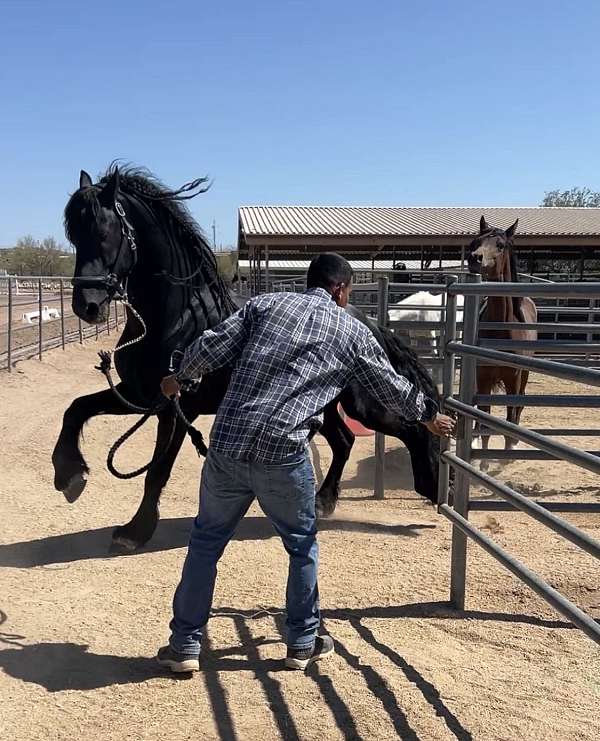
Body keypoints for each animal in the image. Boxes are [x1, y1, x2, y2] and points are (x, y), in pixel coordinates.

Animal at [52, 165, 440, 551]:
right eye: (74, 236)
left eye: (105, 232)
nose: (86, 306)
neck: (179, 318)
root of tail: (364, 320)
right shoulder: (140, 395)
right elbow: (76, 409)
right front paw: (69, 475)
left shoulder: (176, 407)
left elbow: (157, 471)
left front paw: (135, 531)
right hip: (324, 405)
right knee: (344, 441)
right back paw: (323, 502)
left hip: (362, 404)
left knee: (409, 427)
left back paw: (432, 488)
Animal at [467, 215, 537, 459]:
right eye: (476, 241)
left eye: (500, 245)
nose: (474, 258)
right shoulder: (483, 377)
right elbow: (484, 420)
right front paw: (482, 460)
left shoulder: (513, 379)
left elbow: (509, 416)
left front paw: (508, 451)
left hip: (524, 374)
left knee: (518, 407)